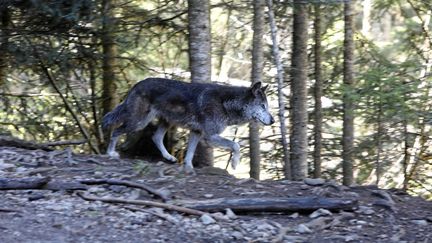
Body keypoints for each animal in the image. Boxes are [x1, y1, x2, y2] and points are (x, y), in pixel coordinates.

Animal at [102, 77, 274, 173]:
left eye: (267, 106)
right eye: (263, 106)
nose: (273, 121)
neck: (226, 103)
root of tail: (137, 84)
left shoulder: (196, 133)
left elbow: (190, 152)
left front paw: (188, 167)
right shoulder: (209, 136)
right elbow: (236, 145)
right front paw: (234, 164)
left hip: (166, 123)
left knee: (156, 137)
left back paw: (169, 157)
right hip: (139, 122)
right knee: (116, 131)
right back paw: (110, 153)